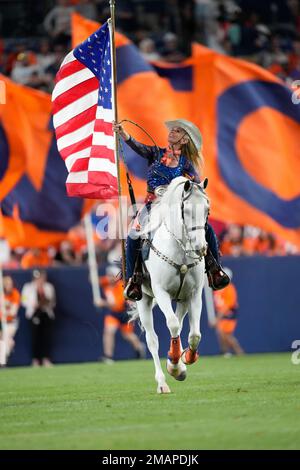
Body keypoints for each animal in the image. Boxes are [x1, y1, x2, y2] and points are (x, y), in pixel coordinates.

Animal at [130, 176, 210, 392]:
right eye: (186, 210)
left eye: (207, 209)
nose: (201, 247)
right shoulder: (161, 292)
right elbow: (172, 325)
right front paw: (173, 362)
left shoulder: (194, 294)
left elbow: (195, 334)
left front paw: (186, 358)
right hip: (143, 299)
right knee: (153, 339)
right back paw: (162, 382)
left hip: (182, 300)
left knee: (181, 325)